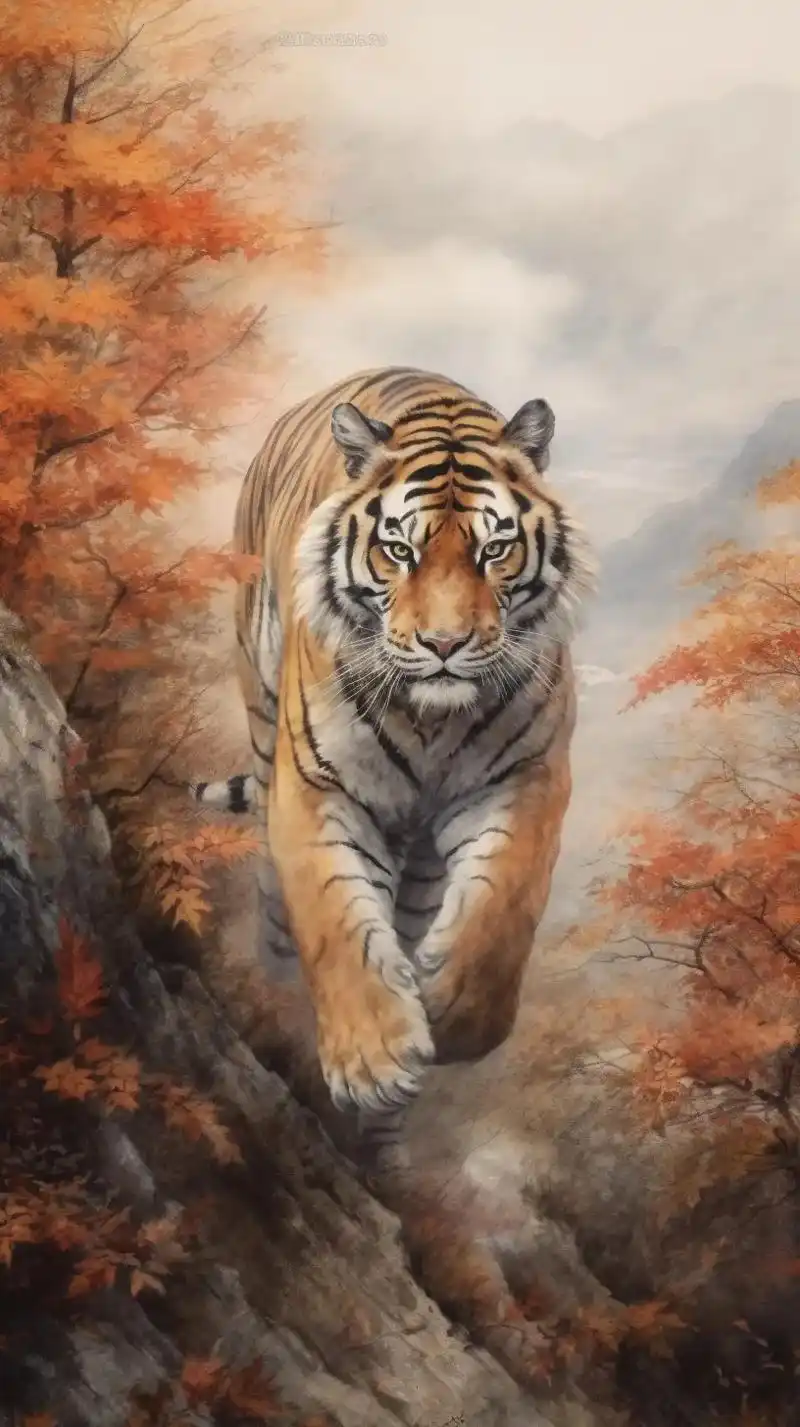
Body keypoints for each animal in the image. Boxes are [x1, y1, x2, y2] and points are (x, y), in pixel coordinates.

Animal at [190, 366, 595, 1147]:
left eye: (493, 551)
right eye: (399, 550)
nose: (444, 644)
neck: (429, 717)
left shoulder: (526, 777)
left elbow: (504, 903)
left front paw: (454, 1012)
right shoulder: (316, 784)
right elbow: (333, 915)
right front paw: (372, 1062)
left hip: (426, 858)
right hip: (262, 714)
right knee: (276, 897)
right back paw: (275, 989)